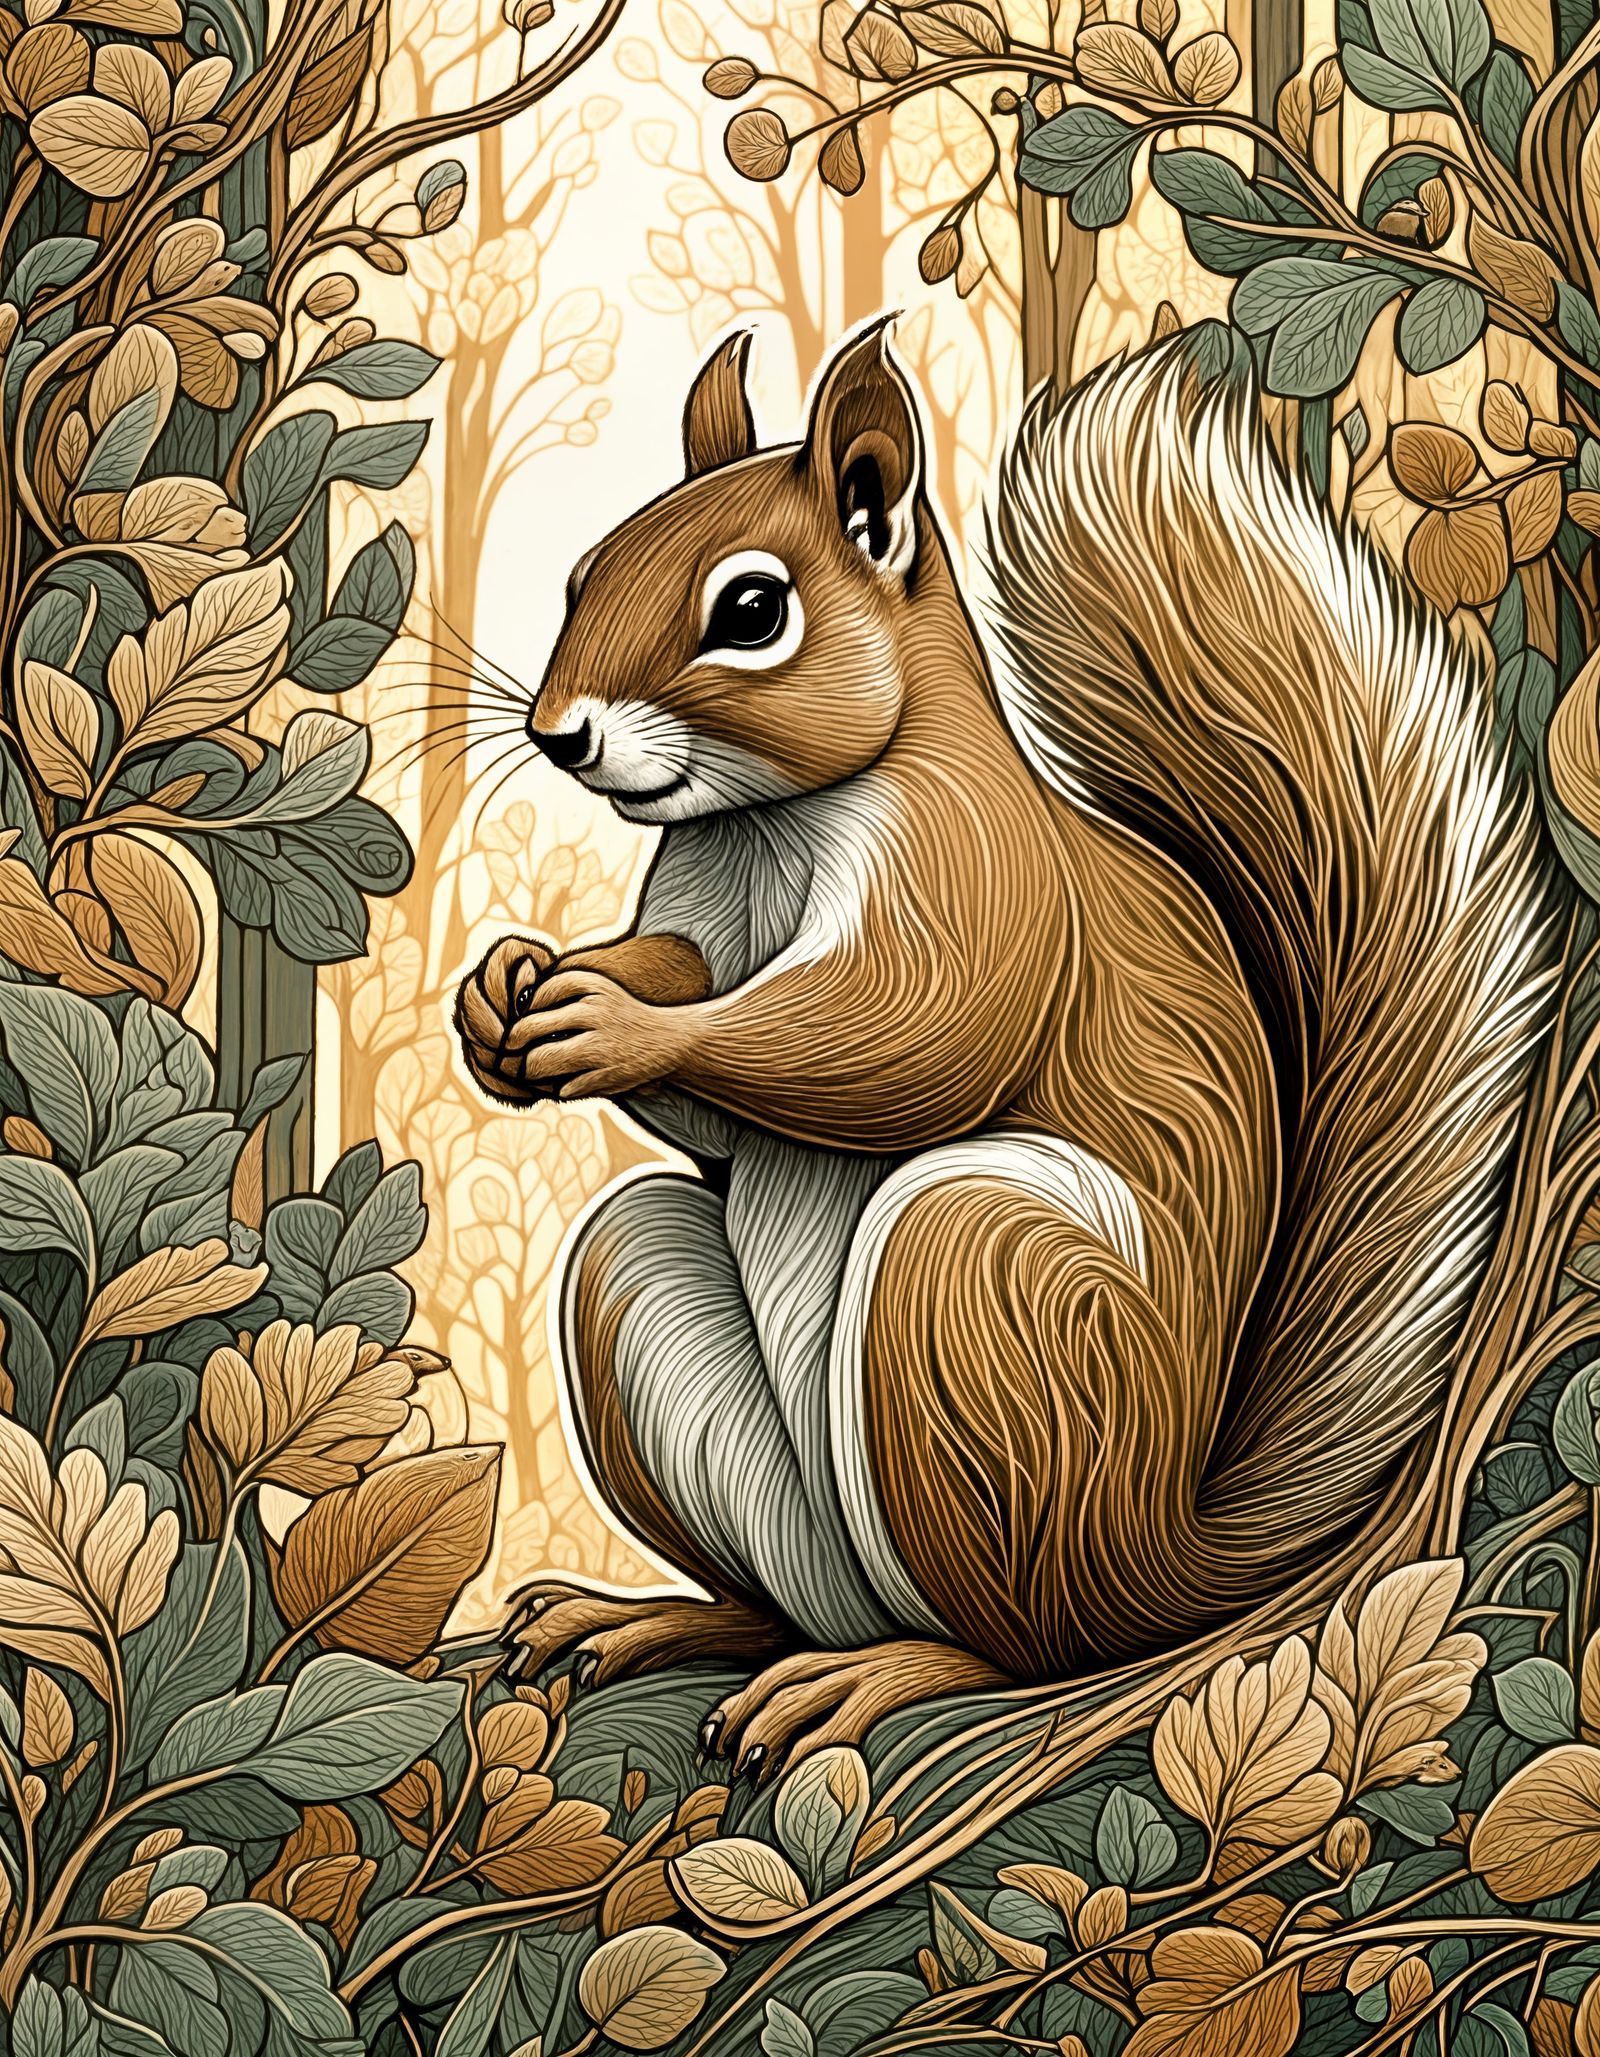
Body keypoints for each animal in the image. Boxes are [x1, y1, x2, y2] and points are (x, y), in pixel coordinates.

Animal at [455, 319, 1555, 1775]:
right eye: (584, 568)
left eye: (748, 611)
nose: (557, 732)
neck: (770, 823)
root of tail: (1159, 1562)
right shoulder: (699, 908)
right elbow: (701, 1062)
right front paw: (512, 987)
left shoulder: (984, 878)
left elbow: (904, 1040)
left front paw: (612, 1023)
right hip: (656, 1317)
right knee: (767, 1594)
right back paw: (648, 1620)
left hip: (974, 1286)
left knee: (1011, 1647)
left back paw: (872, 1675)